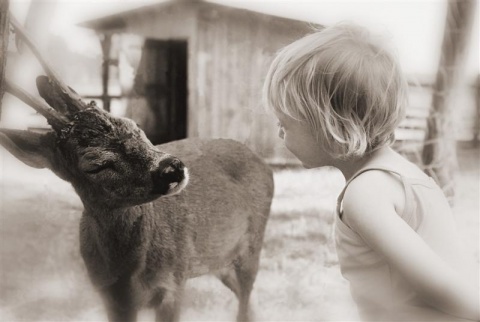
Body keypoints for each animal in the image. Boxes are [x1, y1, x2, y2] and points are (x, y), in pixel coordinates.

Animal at [0, 15, 274, 322]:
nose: (172, 167)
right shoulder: (110, 297)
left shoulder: (174, 283)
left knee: (246, 297)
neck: (129, 276)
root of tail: (261, 161)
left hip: (252, 244)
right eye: (96, 165)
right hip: (220, 259)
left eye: (134, 125)